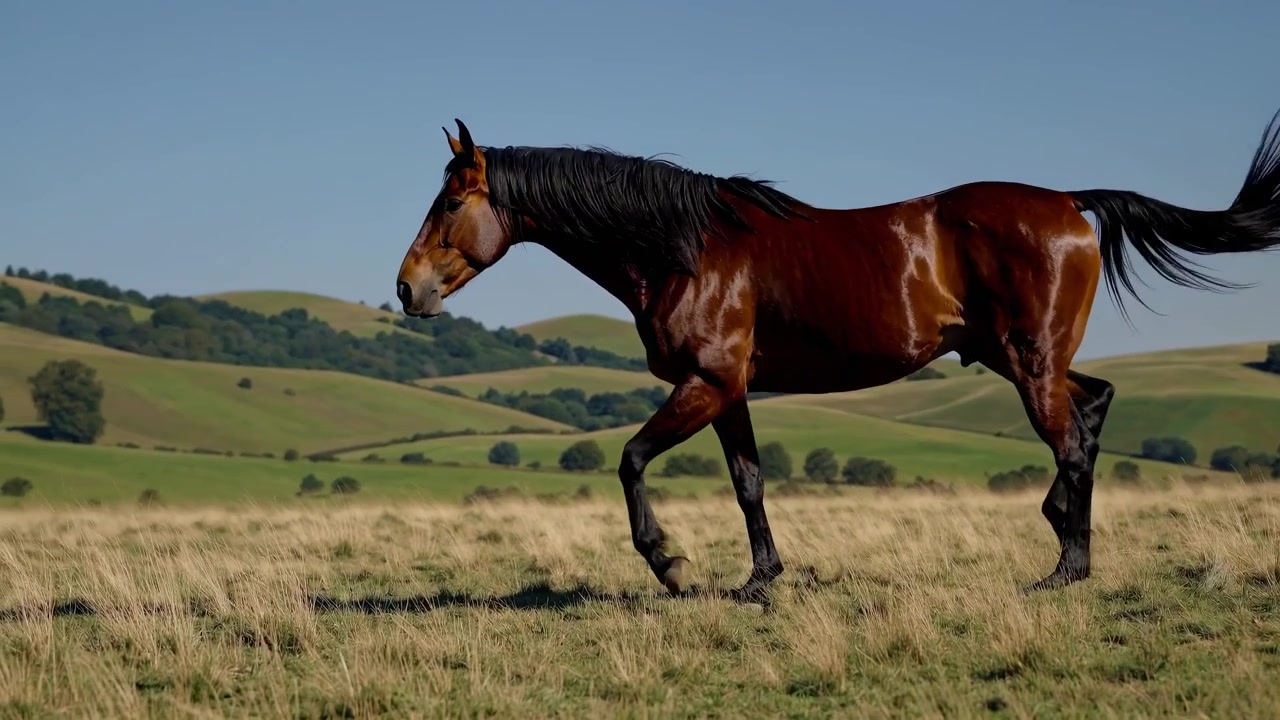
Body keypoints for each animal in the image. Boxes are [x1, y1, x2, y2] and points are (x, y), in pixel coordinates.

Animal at [396, 112, 1280, 603]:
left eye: (451, 201)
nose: (408, 290)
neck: (686, 248)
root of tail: (1070, 202)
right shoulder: (729, 391)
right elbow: (749, 484)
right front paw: (759, 580)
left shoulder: (704, 383)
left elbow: (631, 459)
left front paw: (670, 564)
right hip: (1017, 357)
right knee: (1092, 409)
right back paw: (1065, 537)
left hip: (1028, 363)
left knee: (1070, 441)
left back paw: (1066, 567)